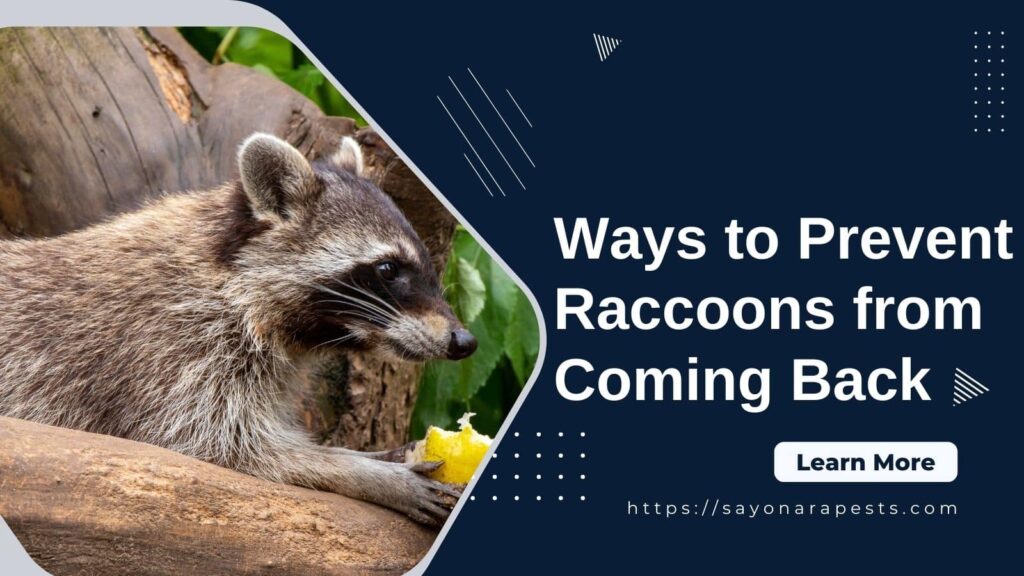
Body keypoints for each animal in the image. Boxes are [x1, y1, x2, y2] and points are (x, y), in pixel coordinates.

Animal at [0, 133, 477, 525]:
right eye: (388, 269)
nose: (464, 340)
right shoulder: (168, 347)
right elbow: (223, 446)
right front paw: (366, 472)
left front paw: (366, 454)